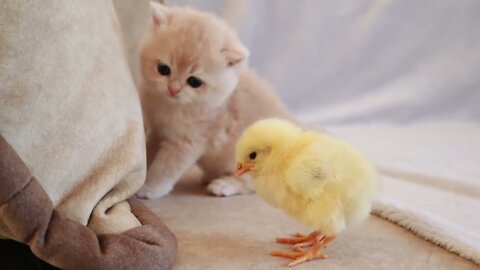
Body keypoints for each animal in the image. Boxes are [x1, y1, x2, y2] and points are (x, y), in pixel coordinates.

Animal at [134, 2, 292, 200]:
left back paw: (224, 185)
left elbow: (164, 169)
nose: (173, 89)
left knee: (251, 184)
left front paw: (149, 188)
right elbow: (150, 151)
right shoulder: (158, 131)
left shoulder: (186, 143)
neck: (172, 106)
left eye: (194, 82)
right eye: (163, 69)